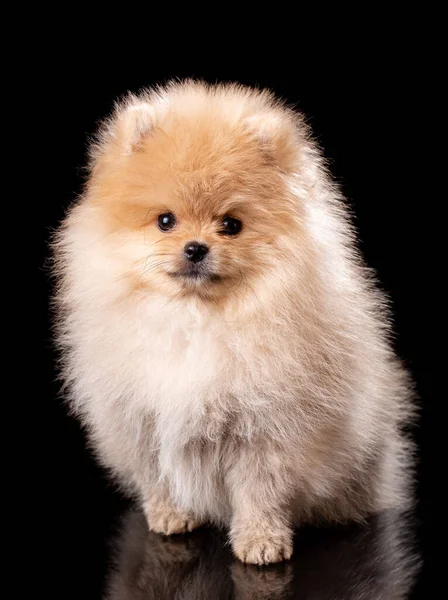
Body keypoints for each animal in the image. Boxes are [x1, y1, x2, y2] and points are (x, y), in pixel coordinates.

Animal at [54, 79, 414, 564]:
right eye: (165, 221)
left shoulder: (265, 429)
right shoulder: (140, 420)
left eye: (231, 225)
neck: (194, 319)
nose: (195, 248)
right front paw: (170, 515)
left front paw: (261, 540)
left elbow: (259, 491)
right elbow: (158, 476)